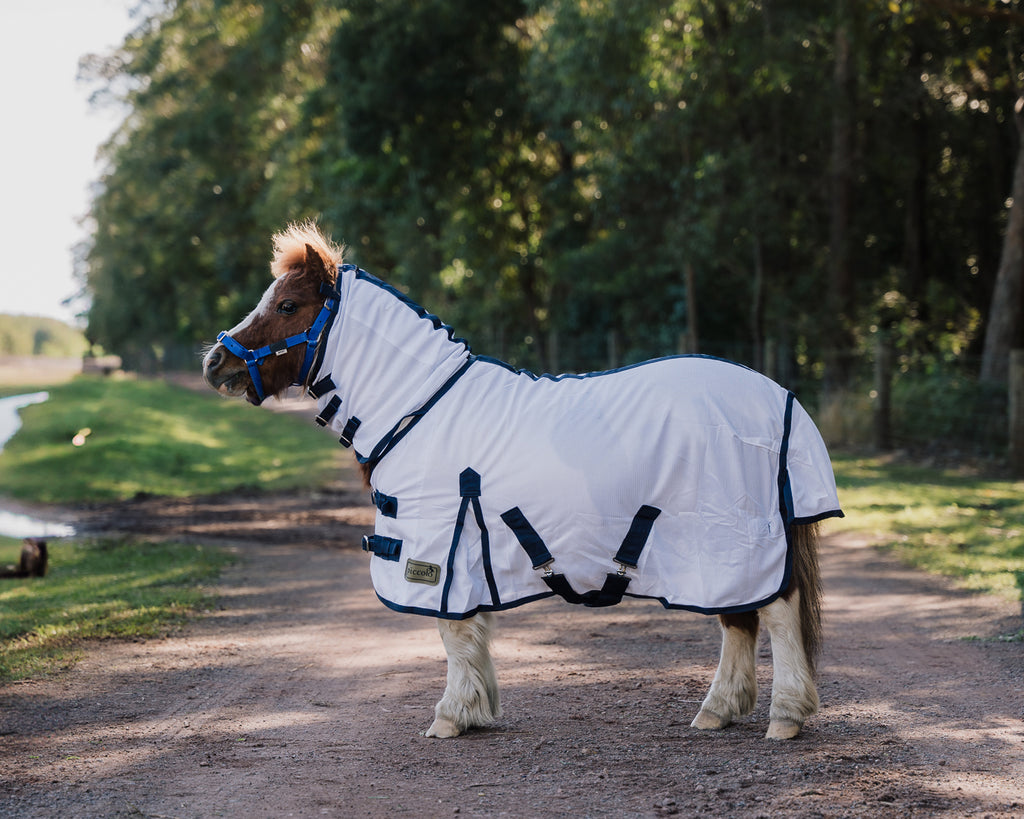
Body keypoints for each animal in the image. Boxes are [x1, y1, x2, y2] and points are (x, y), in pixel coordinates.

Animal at [202, 222, 843, 741]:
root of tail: (778, 399)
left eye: (287, 305)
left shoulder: (438, 540)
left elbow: (452, 634)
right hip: (723, 552)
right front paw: (476, 710)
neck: (422, 406)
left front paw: (449, 718)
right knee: (741, 619)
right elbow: (472, 631)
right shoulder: (467, 547)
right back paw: (717, 711)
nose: (215, 363)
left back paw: (784, 718)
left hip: (735, 538)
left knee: (776, 613)